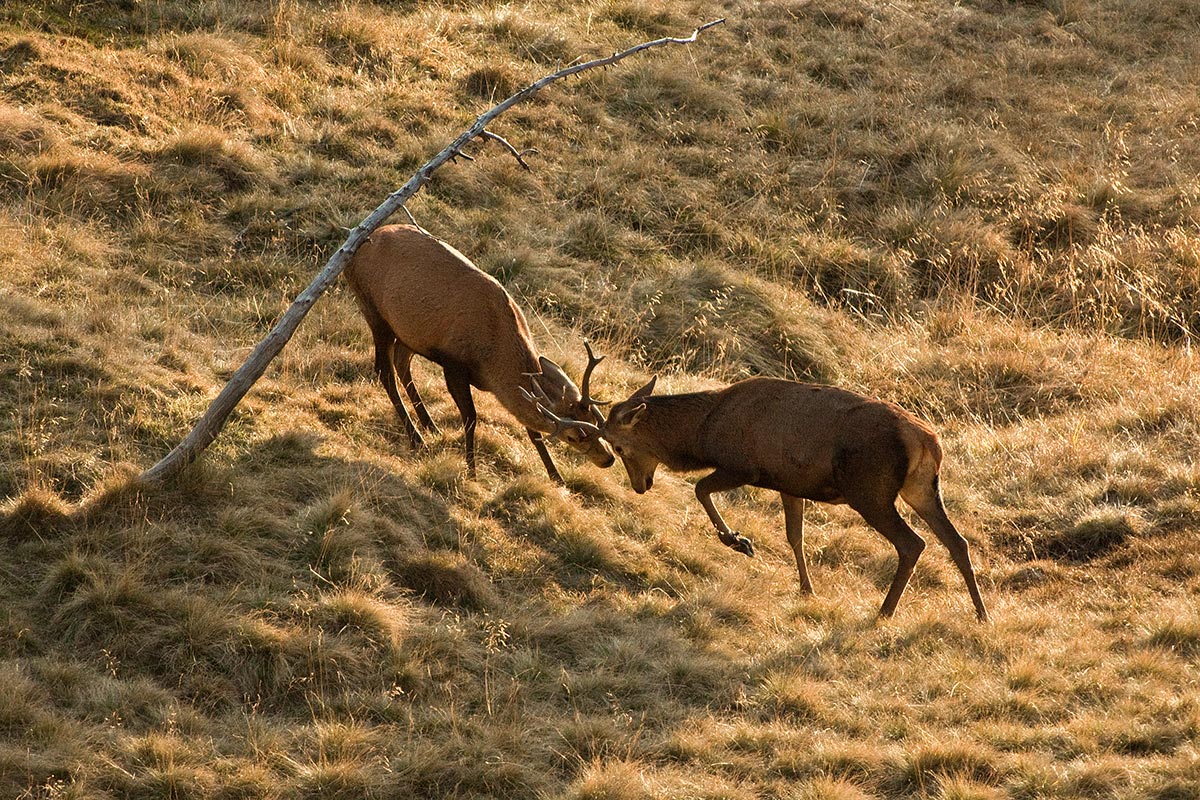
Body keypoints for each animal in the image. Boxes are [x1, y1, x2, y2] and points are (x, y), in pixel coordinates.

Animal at [343, 224, 614, 483]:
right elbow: (471, 417)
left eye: (593, 420)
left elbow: (531, 431)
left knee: (401, 363)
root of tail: (354, 250)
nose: (608, 459)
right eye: (572, 437)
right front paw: (471, 470)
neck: (492, 363)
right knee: (384, 370)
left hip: (409, 332)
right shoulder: (453, 363)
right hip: (374, 311)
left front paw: (556, 477)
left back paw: (430, 425)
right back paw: (417, 438)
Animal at [536, 375, 989, 621]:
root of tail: (927, 442)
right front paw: (806, 589)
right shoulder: (790, 483)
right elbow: (795, 536)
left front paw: (738, 541)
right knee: (957, 541)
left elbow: (700, 489)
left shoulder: (745, 466)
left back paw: (885, 611)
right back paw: (982, 614)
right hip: (921, 489)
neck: (703, 432)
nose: (639, 485)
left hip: (871, 490)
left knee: (914, 543)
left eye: (621, 445)